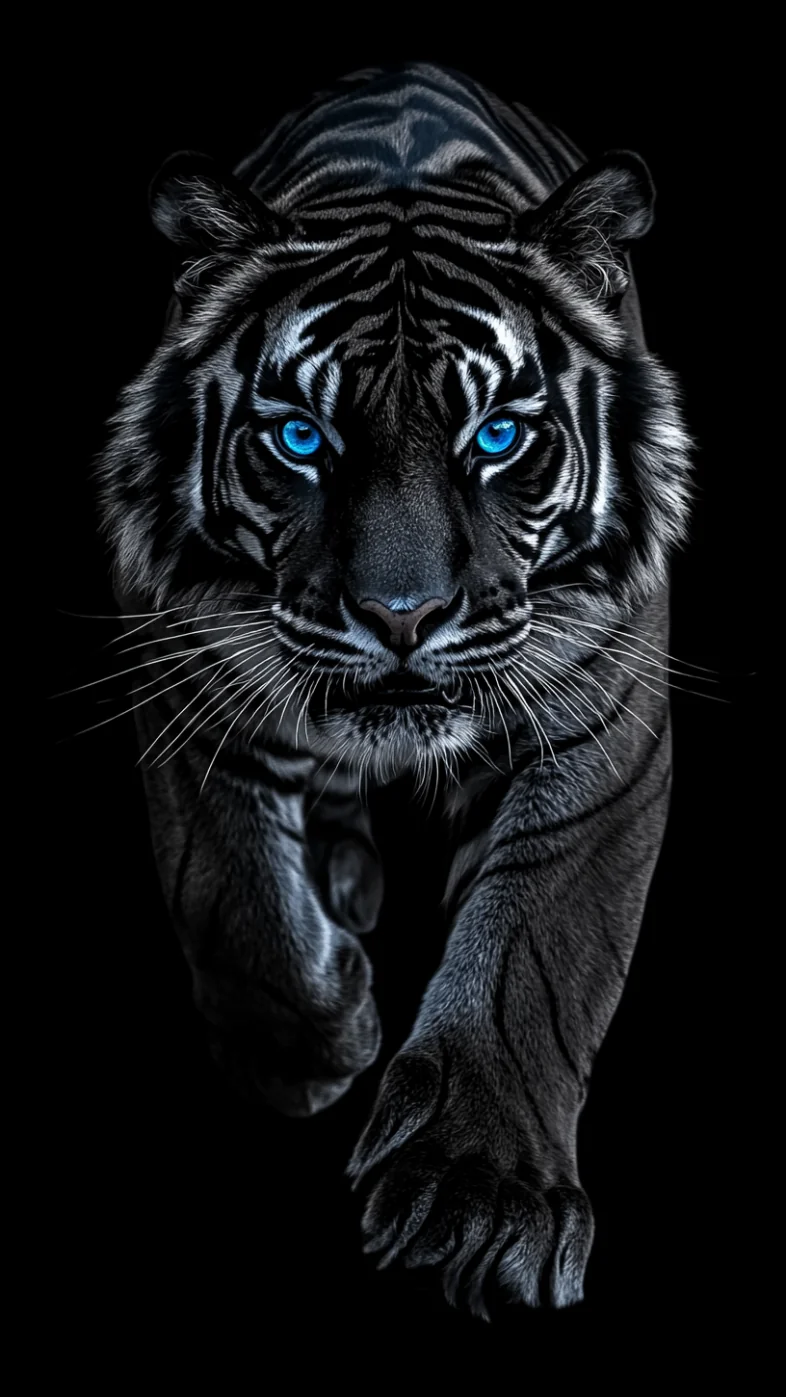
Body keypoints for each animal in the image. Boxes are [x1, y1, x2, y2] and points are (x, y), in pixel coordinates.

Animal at [97, 61, 692, 1318]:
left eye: (500, 436)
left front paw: (477, 1198)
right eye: (299, 437)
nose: (403, 616)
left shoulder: (601, 724)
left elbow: (534, 946)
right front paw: (315, 1043)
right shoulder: (182, 667)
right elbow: (234, 893)